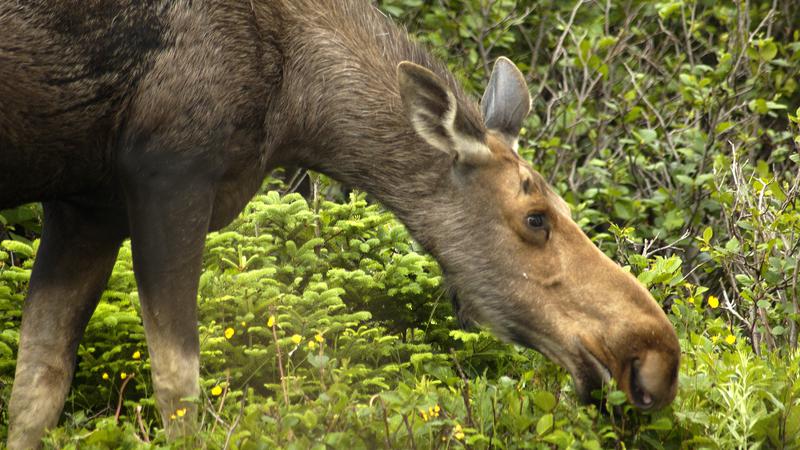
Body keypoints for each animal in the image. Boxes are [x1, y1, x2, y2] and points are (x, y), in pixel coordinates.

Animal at [0, 0, 680, 446]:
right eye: (535, 218)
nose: (656, 353)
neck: (296, 101)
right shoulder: (167, 175)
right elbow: (178, 383)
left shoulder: (89, 206)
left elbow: (36, 387)